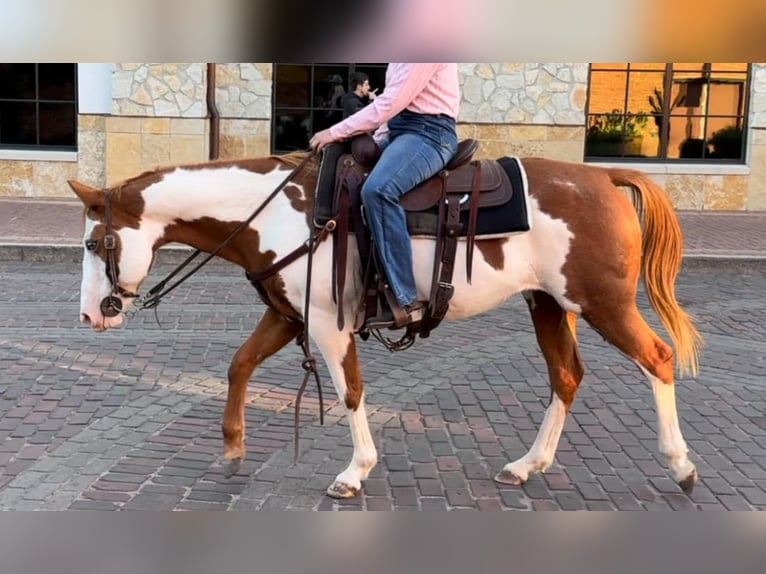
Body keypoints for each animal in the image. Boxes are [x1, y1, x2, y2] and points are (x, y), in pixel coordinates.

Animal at [69, 152, 704, 500]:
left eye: (95, 242)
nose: (89, 314)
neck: (280, 214)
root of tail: (605, 178)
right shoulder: (287, 315)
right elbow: (239, 364)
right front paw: (232, 447)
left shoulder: (329, 324)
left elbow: (350, 392)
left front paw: (355, 471)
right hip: (547, 304)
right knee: (566, 377)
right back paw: (527, 466)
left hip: (604, 304)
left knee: (658, 358)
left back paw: (681, 465)